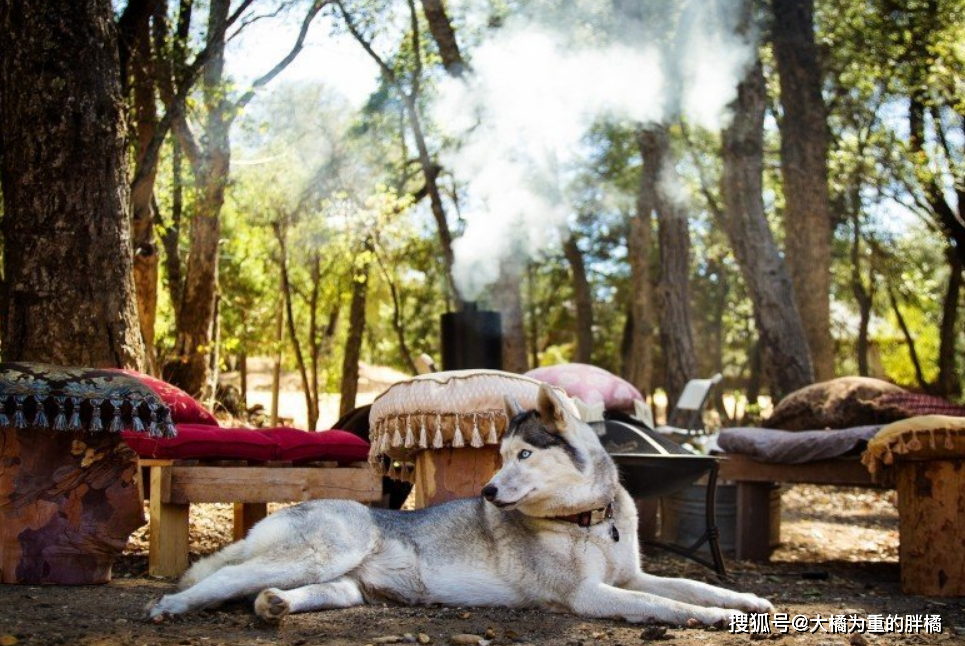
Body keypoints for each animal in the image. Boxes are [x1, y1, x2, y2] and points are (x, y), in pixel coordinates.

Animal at [147, 384, 772, 628]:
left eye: (524, 454)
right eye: (498, 457)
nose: (488, 493)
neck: (591, 522)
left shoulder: (633, 575)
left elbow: (692, 586)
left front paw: (745, 601)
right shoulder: (588, 595)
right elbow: (665, 606)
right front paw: (714, 619)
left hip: (342, 584)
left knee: (271, 590)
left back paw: (274, 604)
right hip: (324, 552)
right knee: (219, 578)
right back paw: (173, 606)